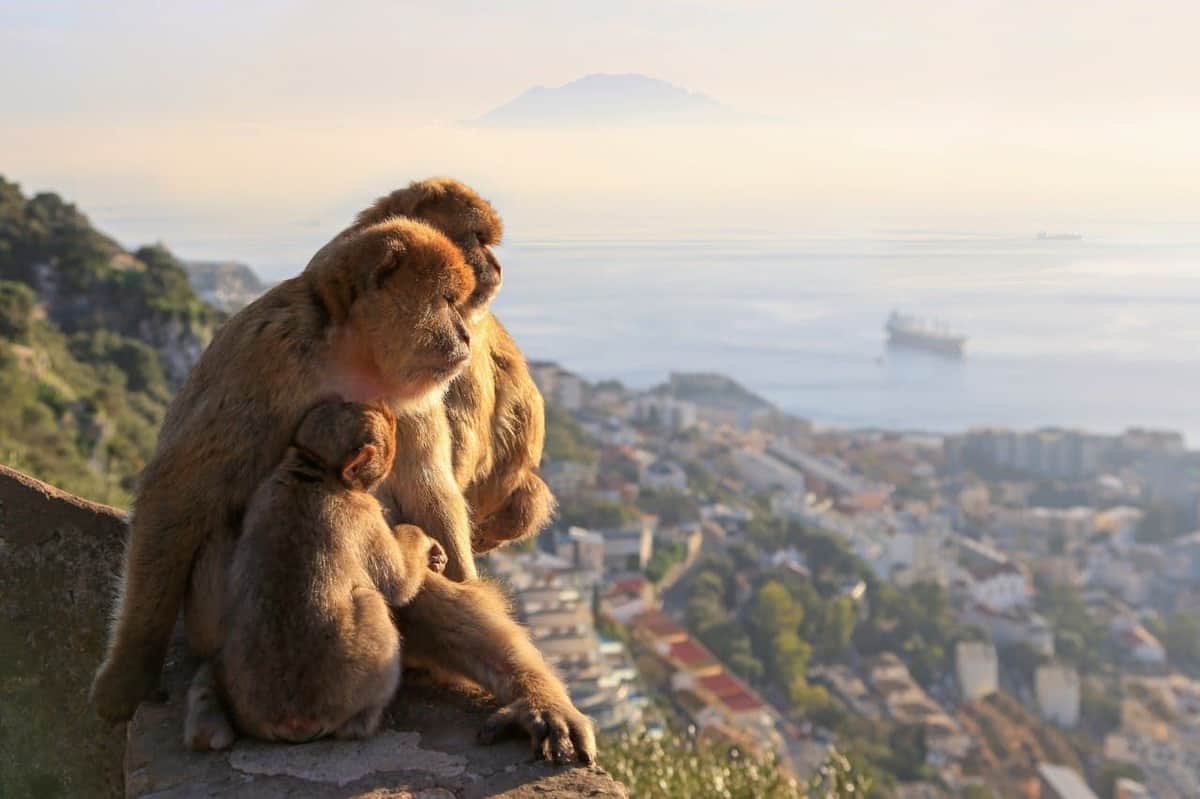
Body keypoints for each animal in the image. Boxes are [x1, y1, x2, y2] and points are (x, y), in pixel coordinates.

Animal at [186, 401, 445, 747]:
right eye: (388, 451)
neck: (313, 468)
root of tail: (289, 720)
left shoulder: (264, 488)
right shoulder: (364, 512)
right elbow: (398, 582)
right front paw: (425, 545)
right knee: (370, 599)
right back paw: (367, 718)